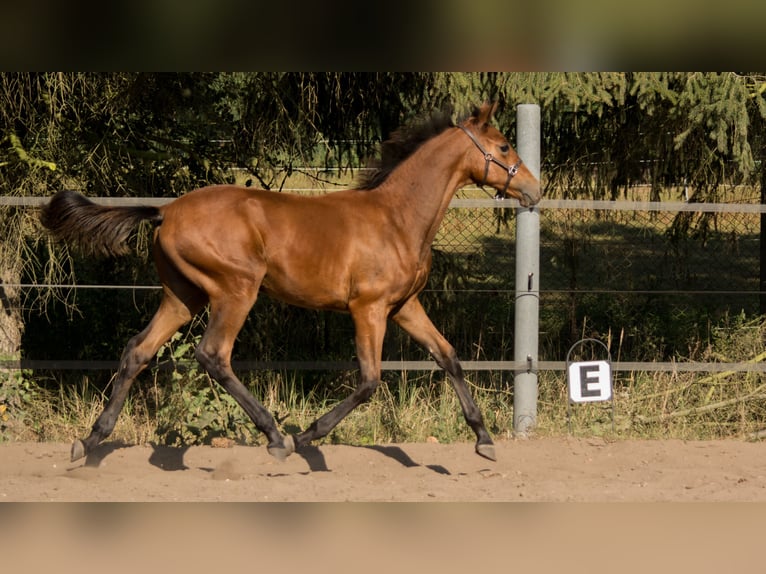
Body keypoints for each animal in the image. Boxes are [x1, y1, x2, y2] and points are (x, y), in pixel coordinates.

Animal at [40, 101, 540, 466]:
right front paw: (306, 437)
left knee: (138, 351)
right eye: (504, 146)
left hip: (183, 296)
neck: (397, 219)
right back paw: (275, 437)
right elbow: (369, 381)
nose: (535, 190)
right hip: (235, 290)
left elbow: (449, 357)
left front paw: (484, 439)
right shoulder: (369, 309)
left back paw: (90, 441)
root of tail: (166, 211)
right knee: (213, 355)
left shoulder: (404, 306)